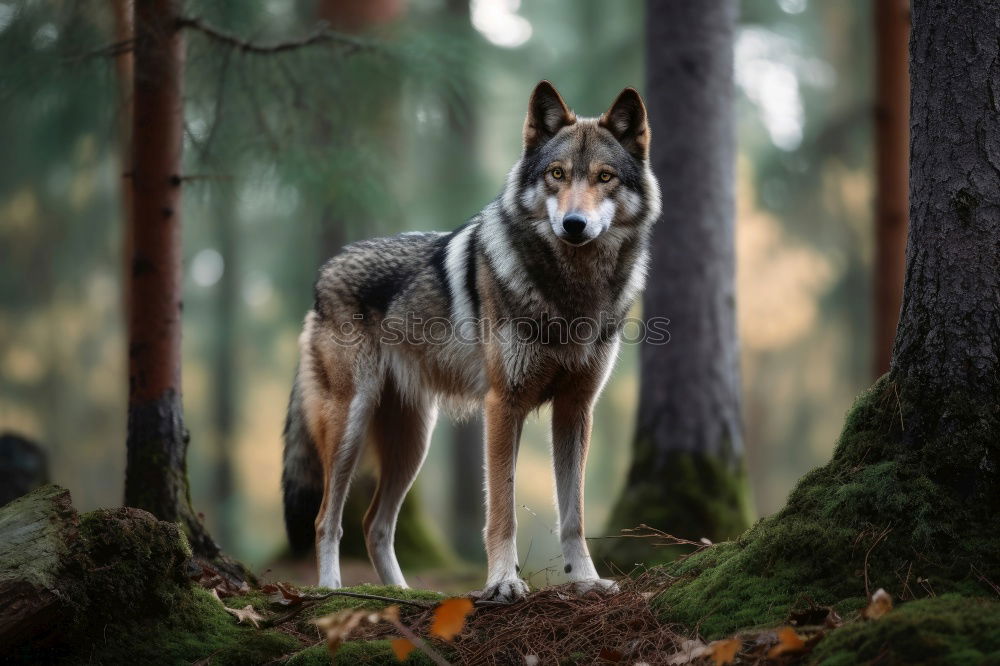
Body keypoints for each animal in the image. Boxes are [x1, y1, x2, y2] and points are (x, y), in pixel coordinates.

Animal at [282, 80, 660, 600]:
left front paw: (585, 580)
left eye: (605, 177)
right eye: (557, 174)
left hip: (414, 442)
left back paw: (406, 594)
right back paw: (334, 592)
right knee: (327, 519)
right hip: (350, 427)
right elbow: (501, 511)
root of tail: (325, 272)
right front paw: (503, 583)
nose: (574, 224)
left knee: (374, 523)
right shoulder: (503, 405)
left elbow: (574, 516)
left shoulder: (575, 410)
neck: (571, 292)